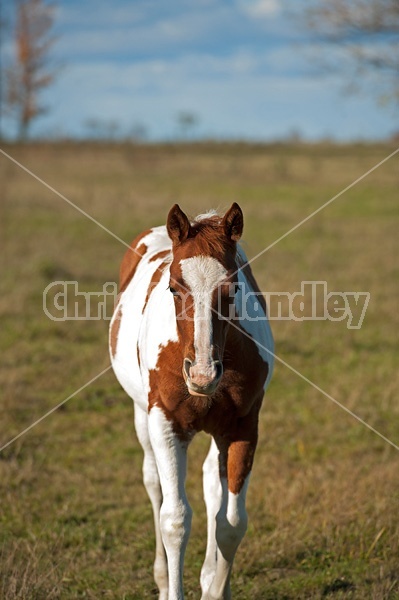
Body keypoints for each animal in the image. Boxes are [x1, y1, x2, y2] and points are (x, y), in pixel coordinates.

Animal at [109, 204, 276, 596]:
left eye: (232, 287)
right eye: (173, 287)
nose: (202, 374)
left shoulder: (243, 427)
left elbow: (231, 523)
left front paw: (216, 589)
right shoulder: (165, 423)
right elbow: (175, 520)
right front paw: (173, 589)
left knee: (211, 485)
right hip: (142, 417)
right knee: (154, 484)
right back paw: (161, 580)